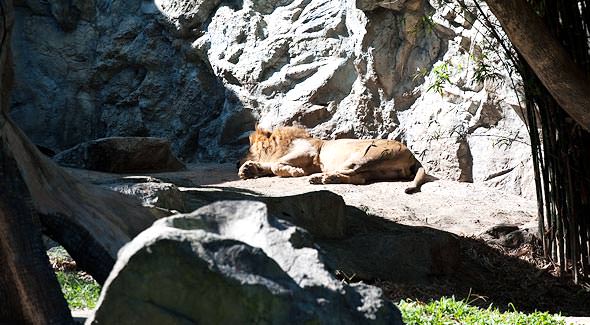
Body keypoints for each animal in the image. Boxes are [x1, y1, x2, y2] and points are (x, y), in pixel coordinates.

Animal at [238, 126, 432, 192]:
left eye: (248, 148)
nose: (237, 162)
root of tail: (413, 156)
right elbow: (272, 165)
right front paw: (248, 169)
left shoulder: (309, 152)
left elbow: (276, 165)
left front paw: (294, 171)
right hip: (377, 169)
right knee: (360, 179)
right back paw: (327, 178)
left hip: (369, 155)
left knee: (352, 170)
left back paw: (322, 178)